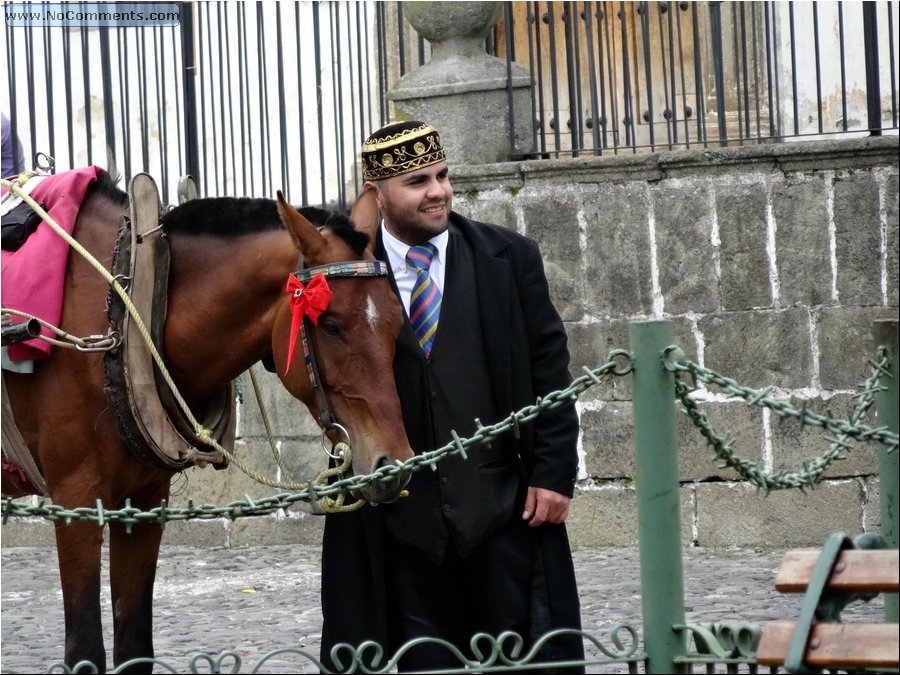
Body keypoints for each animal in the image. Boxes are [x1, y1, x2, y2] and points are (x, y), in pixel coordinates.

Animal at [0, 173, 412, 672]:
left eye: (396, 322)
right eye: (330, 324)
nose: (394, 465)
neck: (129, 305)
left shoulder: (144, 500)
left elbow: (135, 645)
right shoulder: (76, 500)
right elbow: (85, 652)